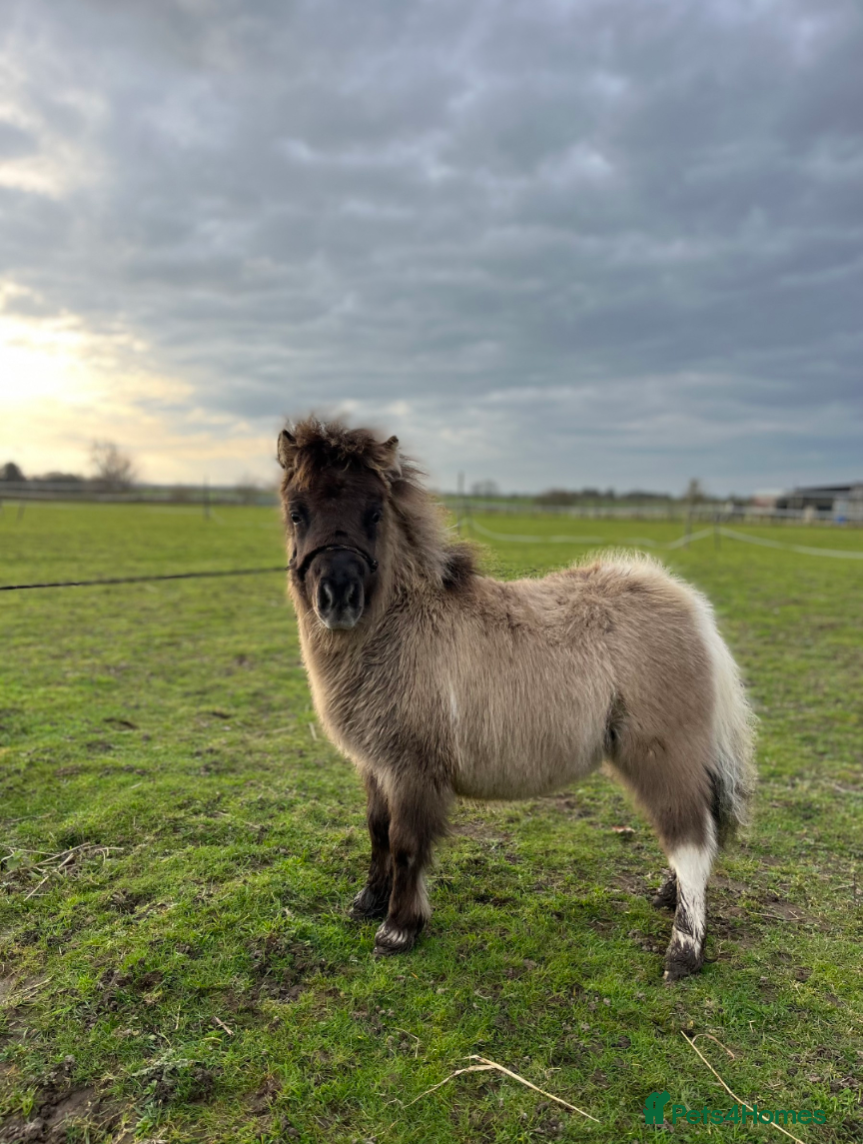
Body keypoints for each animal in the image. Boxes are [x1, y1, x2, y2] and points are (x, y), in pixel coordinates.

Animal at [277, 418, 756, 981]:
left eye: (374, 512)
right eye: (296, 511)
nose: (338, 598)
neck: (404, 627)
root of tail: (689, 606)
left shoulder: (414, 769)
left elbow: (406, 844)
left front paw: (398, 928)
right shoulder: (375, 765)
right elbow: (378, 831)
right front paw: (368, 902)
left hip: (661, 752)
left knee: (691, 839)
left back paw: (684, 950)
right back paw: (668, 897)